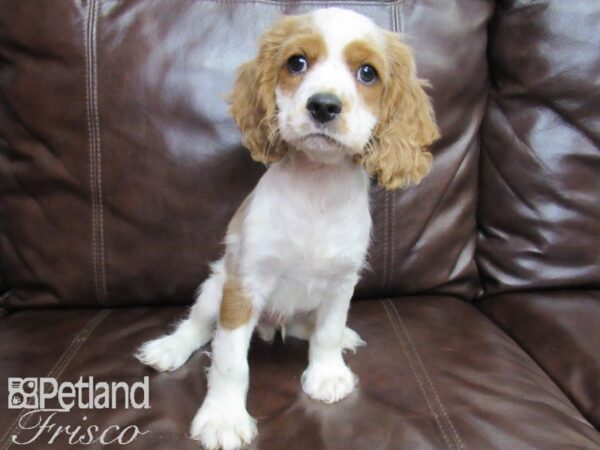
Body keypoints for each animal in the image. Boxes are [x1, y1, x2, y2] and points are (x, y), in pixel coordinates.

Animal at [139, 7, 440, 450]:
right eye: (296, 63)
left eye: (368, 73)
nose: (324, 105)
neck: (317, 187)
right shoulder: (243, 286)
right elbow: (229, 359)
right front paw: (223, 417)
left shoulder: (341, 283)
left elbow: (326, 333)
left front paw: (327, 374)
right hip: (215, 286)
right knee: (198, 325)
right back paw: (170, 348)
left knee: (306, 327)